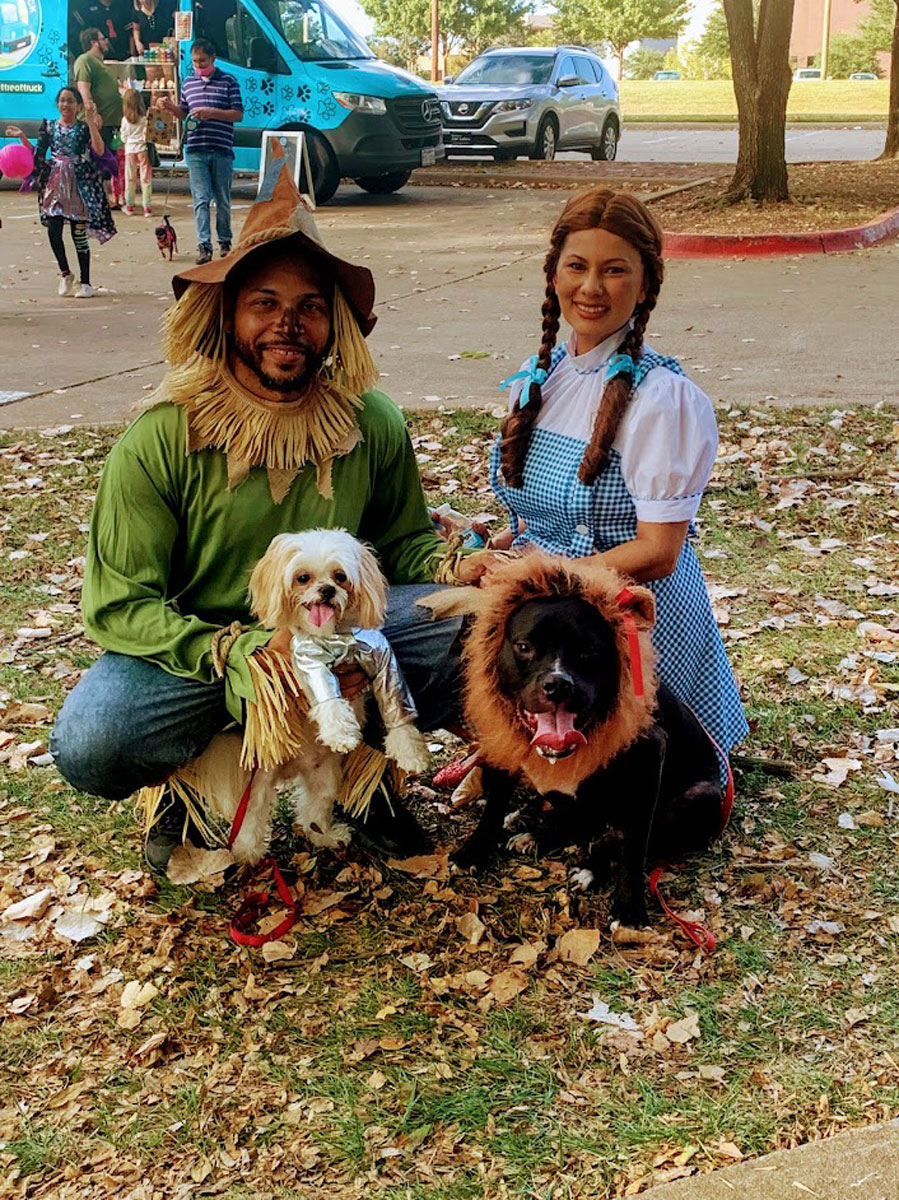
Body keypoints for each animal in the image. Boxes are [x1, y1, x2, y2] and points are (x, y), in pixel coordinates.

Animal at [184, 532, 427, 864]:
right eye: (303, 578)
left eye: (340, 576)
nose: (327, 590)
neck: (335, 636)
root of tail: (292, 768)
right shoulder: (307, 661)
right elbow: (329, 701)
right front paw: (340, 733)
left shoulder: (383, 662)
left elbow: (398, 710)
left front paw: (411, 753)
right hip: (259, 783)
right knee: (251, 819)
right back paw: (248, 853)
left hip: (325, 777)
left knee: (313, 811)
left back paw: (325, 836)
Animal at [456, 597, 720, 926]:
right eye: (524, 647)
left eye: (589, 650)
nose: (557, 684)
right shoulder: (502, 743)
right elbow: (493, 807)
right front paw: (474, 850)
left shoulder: (648, 760)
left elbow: (634, 847)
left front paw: (629, 907)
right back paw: (531, 828)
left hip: (702, 797)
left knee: (633, 837)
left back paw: (588, 867)